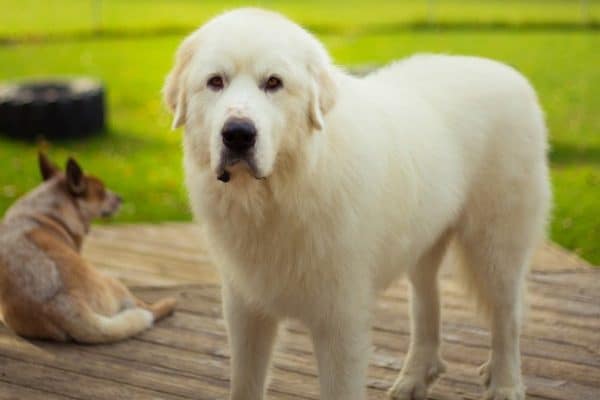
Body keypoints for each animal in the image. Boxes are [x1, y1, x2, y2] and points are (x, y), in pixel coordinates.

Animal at [0, 153, 176, 344]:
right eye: (102, 192)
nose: (120, 198)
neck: (49, 207)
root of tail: (67, 307)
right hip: (113, 281)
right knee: (147, 311)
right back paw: (168, 304)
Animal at [163, 8, 548, 400]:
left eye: (273, 83)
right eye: (215, 82)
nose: (238, 134)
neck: (282, 193)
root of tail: (509, 73)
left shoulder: (340, 321)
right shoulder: (246, 309)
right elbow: (245, 384)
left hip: (496, 248)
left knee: (507, 316)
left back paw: (505, 383)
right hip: (423, 242)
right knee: (426, 306)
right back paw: (414, 378)